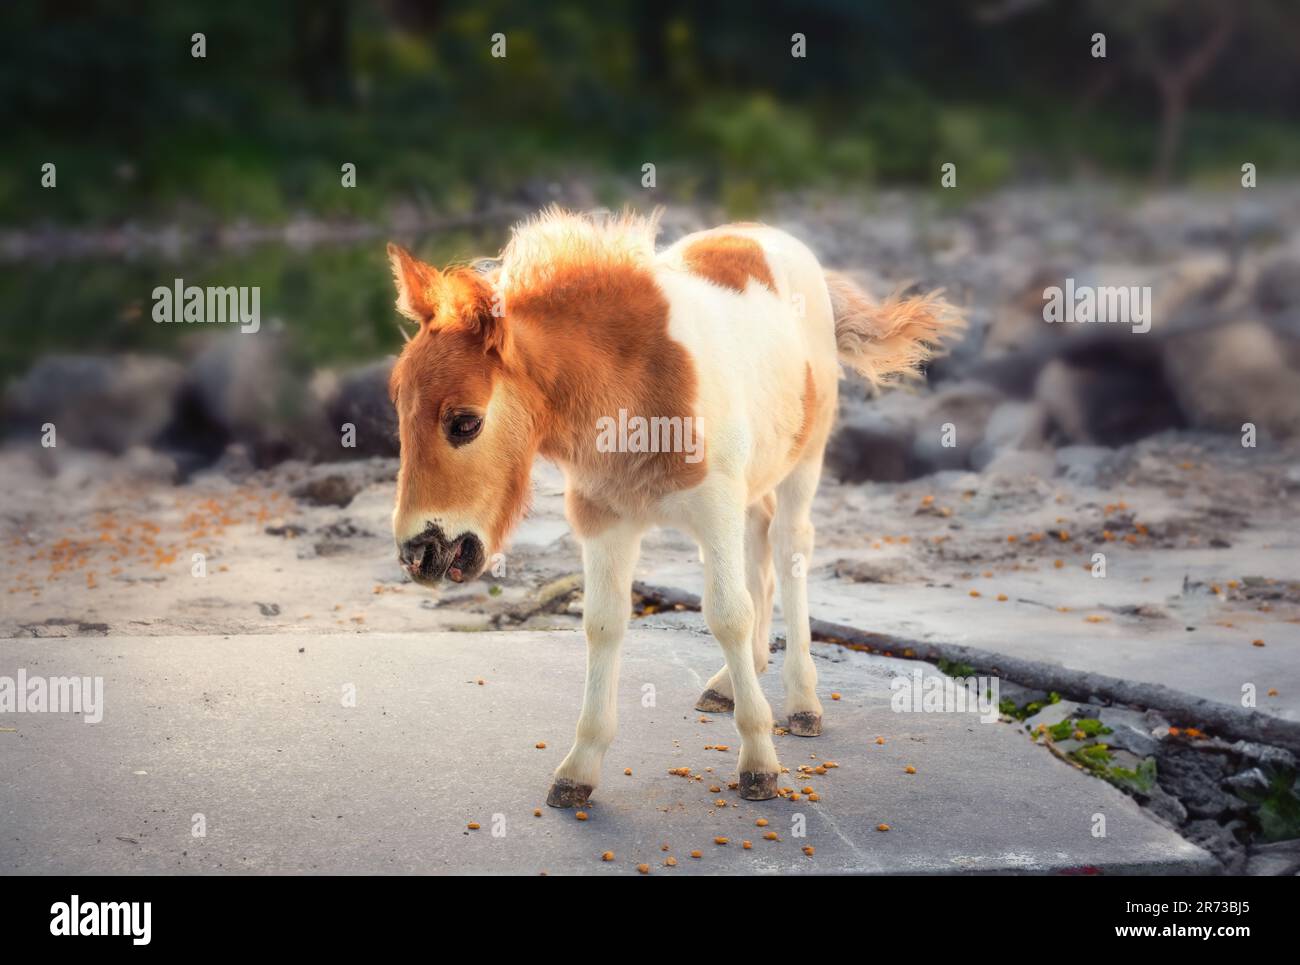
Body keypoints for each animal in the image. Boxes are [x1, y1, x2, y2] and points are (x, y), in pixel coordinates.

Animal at [384, 211, 967, 806]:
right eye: (398, 406)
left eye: (465, 422)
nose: (419, 553)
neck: (636, 384)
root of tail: (777, 236)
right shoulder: (603, 519)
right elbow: (603, 623)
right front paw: (579, 770)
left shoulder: (713, 507)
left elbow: (728, 615)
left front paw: (759, 763)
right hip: (751, 482)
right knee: (759, 550)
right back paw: (732, 683)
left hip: (805, 458)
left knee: (789, 549)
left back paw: (802, 702)